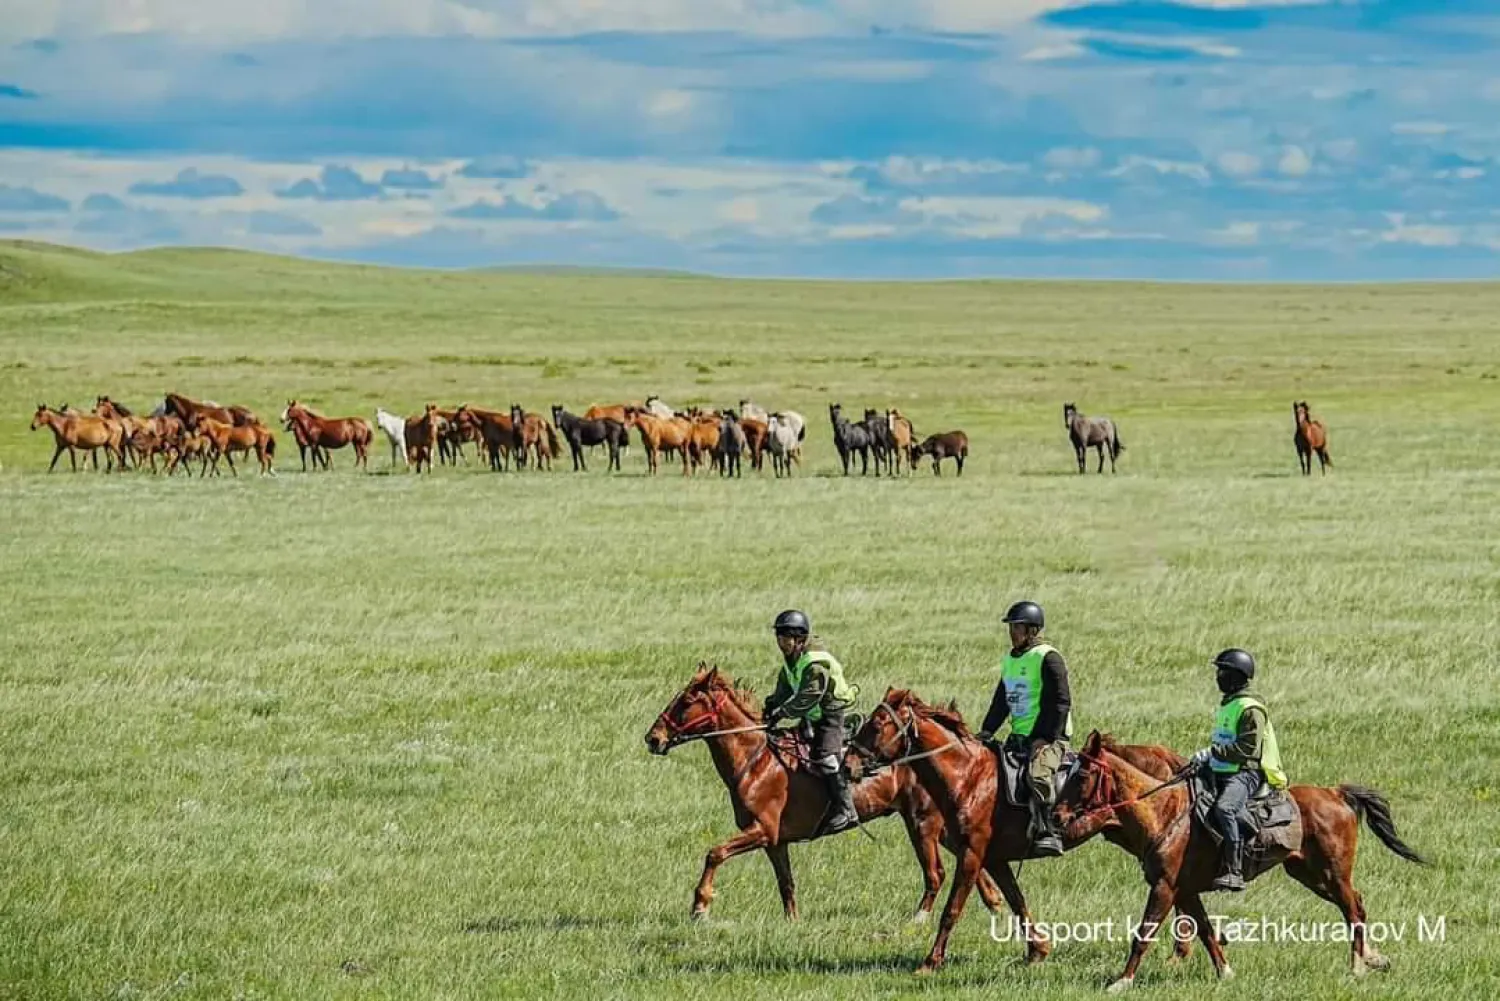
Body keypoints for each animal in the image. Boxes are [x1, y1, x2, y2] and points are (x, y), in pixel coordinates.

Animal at [645, 666, 1008, 924]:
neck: (755, 760)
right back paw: (996, 904)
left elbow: (714, 853)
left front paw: (700, 906)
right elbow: (786, 883)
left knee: (936, 874)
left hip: (922, 825)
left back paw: (920, 920)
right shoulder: (775, 841)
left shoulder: (760, 831)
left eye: (686, 703)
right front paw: (793, 923)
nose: (653, 738)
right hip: (940, 825)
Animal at [1062, 732, 1422, 990]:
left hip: (1332, 874)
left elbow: (1144, 934)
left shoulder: (1165, 888)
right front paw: (1225, 972)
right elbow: (1206, 931)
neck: (1164, 812)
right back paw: (1374, 959)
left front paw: (1121, 982)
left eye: (1082, 776)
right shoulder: (1186, 891)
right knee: (1357, 904)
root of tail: (1335, 793)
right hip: (1310, 875)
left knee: (1352, 911)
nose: (1057, 816)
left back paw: (1358, 967)